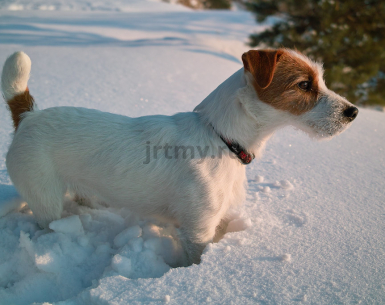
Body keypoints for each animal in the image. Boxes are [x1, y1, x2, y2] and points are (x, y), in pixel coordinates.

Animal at [0, 49, 356, 264]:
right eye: (304, 84)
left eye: (321, 80)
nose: (353, 112)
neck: (220, 136)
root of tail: (29, 115)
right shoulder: (198, 229)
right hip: (45, 199)